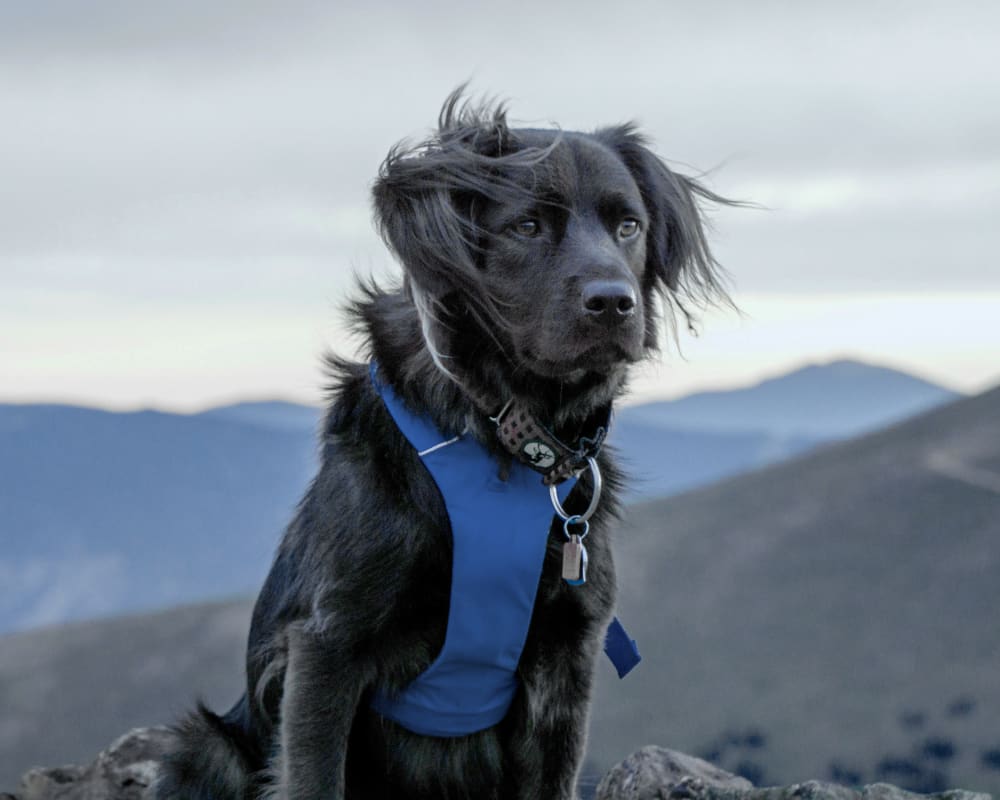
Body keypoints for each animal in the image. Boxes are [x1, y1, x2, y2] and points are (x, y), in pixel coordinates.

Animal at [158, 89, 728, 800]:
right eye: (526, 228)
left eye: (629, 226)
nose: (614, 303)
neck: (503, 435)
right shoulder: (326, 647)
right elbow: (314, 775)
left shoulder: (565, 661)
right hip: (205, 744)